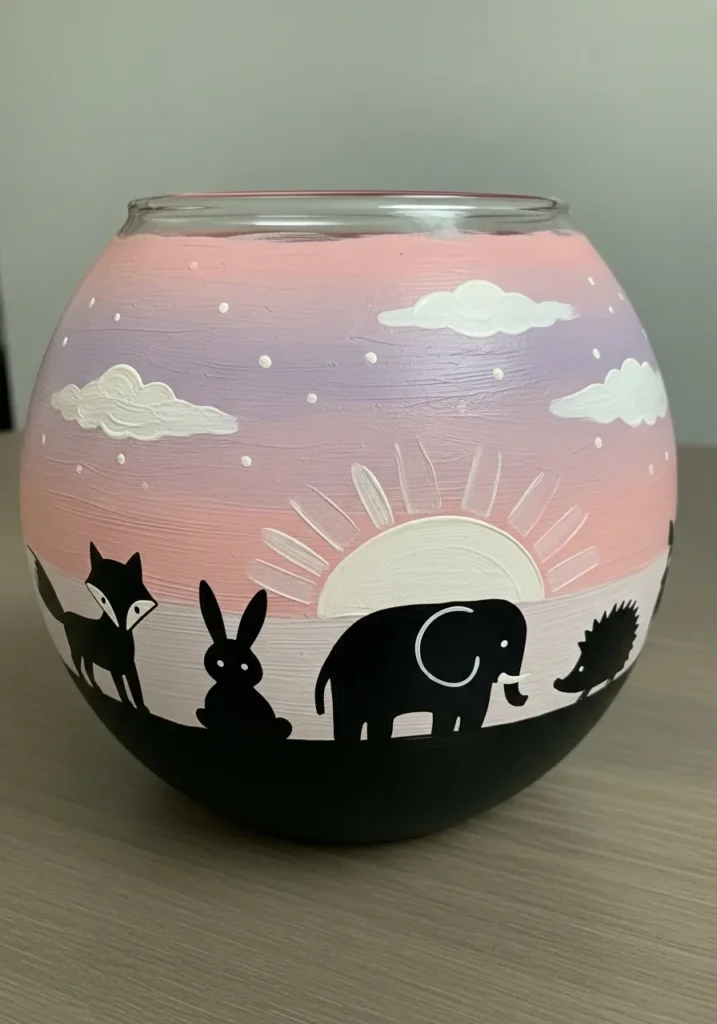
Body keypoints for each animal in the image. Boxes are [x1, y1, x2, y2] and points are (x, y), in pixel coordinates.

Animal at [30, 543, 157, 712]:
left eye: (136, 609)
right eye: (103, 599)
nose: (121, 622)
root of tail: (67, 615)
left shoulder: (130, 667)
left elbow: (136, 689)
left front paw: (141, 708)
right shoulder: (115, 668)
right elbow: (121, 689)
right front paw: (127, 704)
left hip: (87, 655)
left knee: (89, 670)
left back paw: (97, 688)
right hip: (76, 649)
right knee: (78, 666)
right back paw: (89, 683)